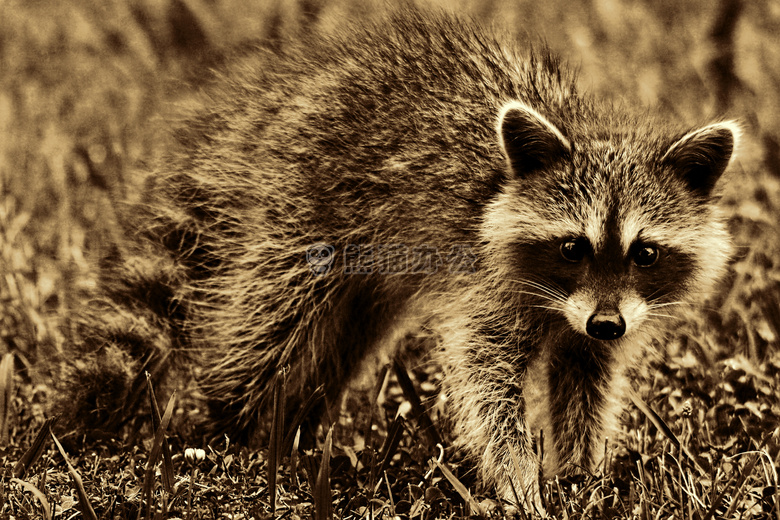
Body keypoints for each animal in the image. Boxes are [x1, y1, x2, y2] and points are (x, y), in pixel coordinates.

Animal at [59, 8, 736, 504]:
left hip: (366, 273)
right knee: (270, 319)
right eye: (573, 246)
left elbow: (586, 378)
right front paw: (519, 478)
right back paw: (234, 423)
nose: (606, 323)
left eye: (645, 253)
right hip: (299, 204)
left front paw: (580, 472)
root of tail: (286, 93)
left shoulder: (600, 316)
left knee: (342, 339)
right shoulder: (489, 286)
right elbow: (485, 382)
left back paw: (299, 421)